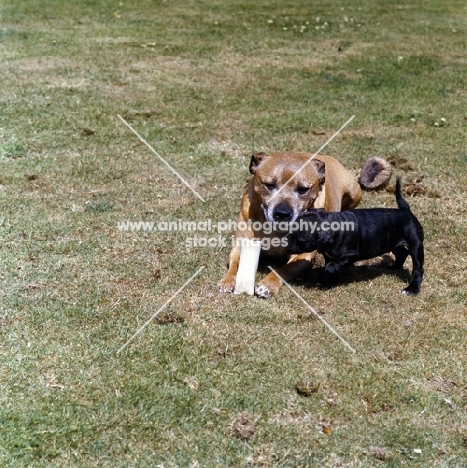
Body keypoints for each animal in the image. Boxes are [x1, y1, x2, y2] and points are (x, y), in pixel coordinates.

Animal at [288, 177, 426, 294]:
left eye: (301, 239)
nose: (285, 244)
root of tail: (405, 211)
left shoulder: (350, 255)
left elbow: (330, 267)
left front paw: (326, 279)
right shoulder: (330, 256)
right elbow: (330, 266)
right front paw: (328, 282)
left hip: (416, 246)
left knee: (418, 268)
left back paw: (412, 289)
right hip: (393, 242)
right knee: (402, 253)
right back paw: (394, 267)